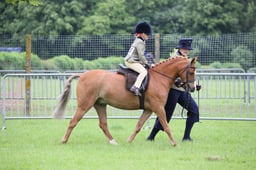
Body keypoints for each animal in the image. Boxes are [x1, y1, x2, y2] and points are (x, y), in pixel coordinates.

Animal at [53, 56, 197, 146]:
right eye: (191, 72)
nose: (193, 88)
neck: (159, 78)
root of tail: (82, 75)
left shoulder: (149, 109)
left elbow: (139, 125)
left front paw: (129, 141)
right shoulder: (158, 108)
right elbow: (166, 125)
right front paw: (174, 143)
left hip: (100, 105)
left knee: (103, 124)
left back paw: (113, 142)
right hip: (85, 105)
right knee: (73, 122)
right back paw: (63, 140)